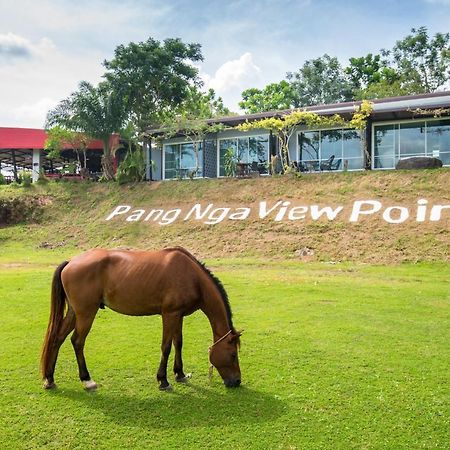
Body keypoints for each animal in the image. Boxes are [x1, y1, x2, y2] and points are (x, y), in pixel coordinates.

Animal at [40, 248, 241, 392]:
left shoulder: (178, 315)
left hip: (74, 313)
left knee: (58, 338)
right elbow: (166, 347)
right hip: (86, 313)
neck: (192, 277)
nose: (237, 381)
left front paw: (180, 373)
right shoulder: (169, 314)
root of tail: (71, 262)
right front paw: (163, 380)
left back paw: (50, 379)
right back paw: (87, 380)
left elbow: (178, 343)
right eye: (233, 354)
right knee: (77, 341)